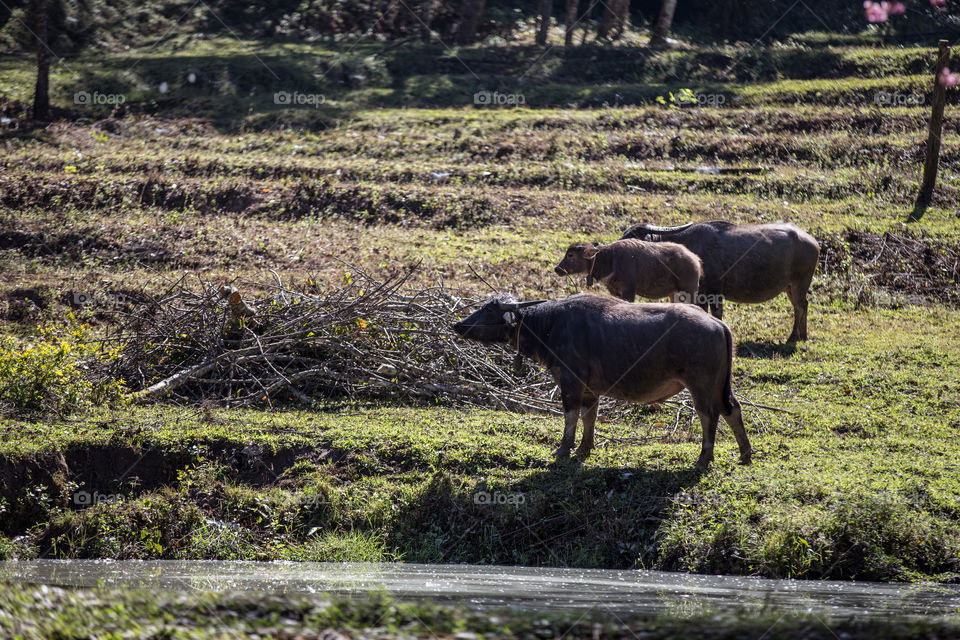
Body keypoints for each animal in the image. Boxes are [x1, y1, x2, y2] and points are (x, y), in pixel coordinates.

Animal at [454, 294, 752, 464]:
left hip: (700, 385)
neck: (550, 325)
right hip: (719, 385)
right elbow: (590, 416)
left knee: (708, 414)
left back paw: (704, 457)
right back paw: (745, 454)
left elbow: (571, 415)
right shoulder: (590, 389)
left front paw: (563, 450)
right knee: (732, 409)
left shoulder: (571, 382)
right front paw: (584, 449)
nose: (459, 325)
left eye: (489, 310)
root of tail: (718, 324)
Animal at [552, 239, 700, 304]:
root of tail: (696, 260)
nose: (557, 269)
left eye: (570, 255)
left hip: (689, 291)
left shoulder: (629, 290)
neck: (610, 261)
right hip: (673, 293)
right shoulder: (614, 291)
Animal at [624, 220, 816, 340]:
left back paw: (793, 337)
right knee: (803, 305)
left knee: (800, 306)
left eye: (636, 237)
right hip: (789, 287)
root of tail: (812, 241)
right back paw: (803, 336)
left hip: (800, 283)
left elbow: (716, 312)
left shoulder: (714, 290)